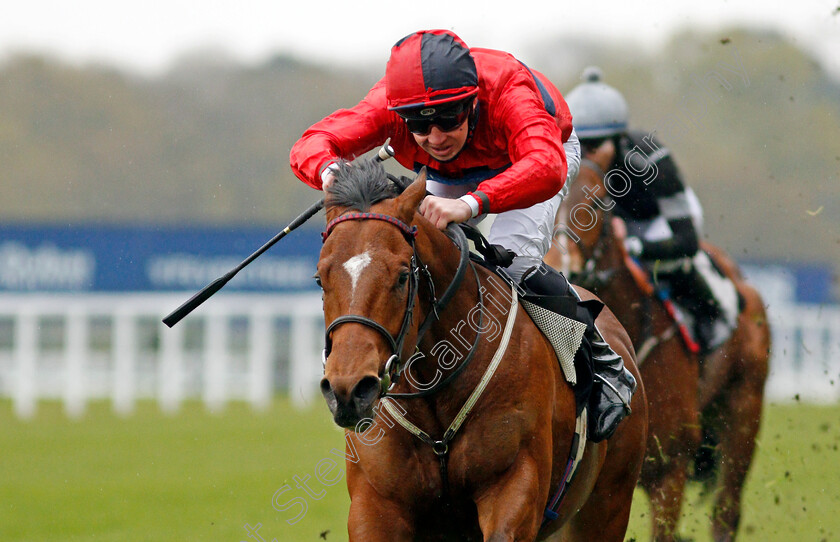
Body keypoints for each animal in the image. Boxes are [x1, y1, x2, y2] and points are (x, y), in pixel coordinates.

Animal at [316, 159, 648, 540]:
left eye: (402, 276)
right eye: (320, 278)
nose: (349, 390)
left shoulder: (513, 484)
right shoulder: (375, 504)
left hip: (606, 506)